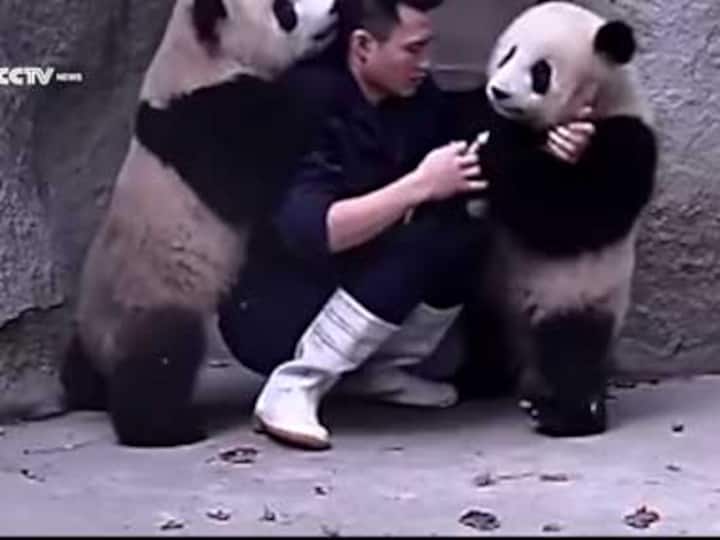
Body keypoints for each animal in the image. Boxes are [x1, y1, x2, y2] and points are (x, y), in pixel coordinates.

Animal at [59, 0, 338, 448]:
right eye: (285, 12)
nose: (332, 10)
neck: (197, 59)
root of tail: (104, 345)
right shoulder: (203, 120)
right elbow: (251, 174)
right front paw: (319, 86)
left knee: (82, 361)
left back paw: (87, 390)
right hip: (156, 297)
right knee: (161, 361)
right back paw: (169, 428)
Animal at [461, 1, 658, 437]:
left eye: (541, 72)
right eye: (508, 54)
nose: (498, 91)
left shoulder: (626, 136)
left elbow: (569, 215)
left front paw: (498, 148)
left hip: (575, 294)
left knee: (570, 351)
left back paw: (564, 414)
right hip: (490, 290)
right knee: (481, 333)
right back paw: (479, 382)